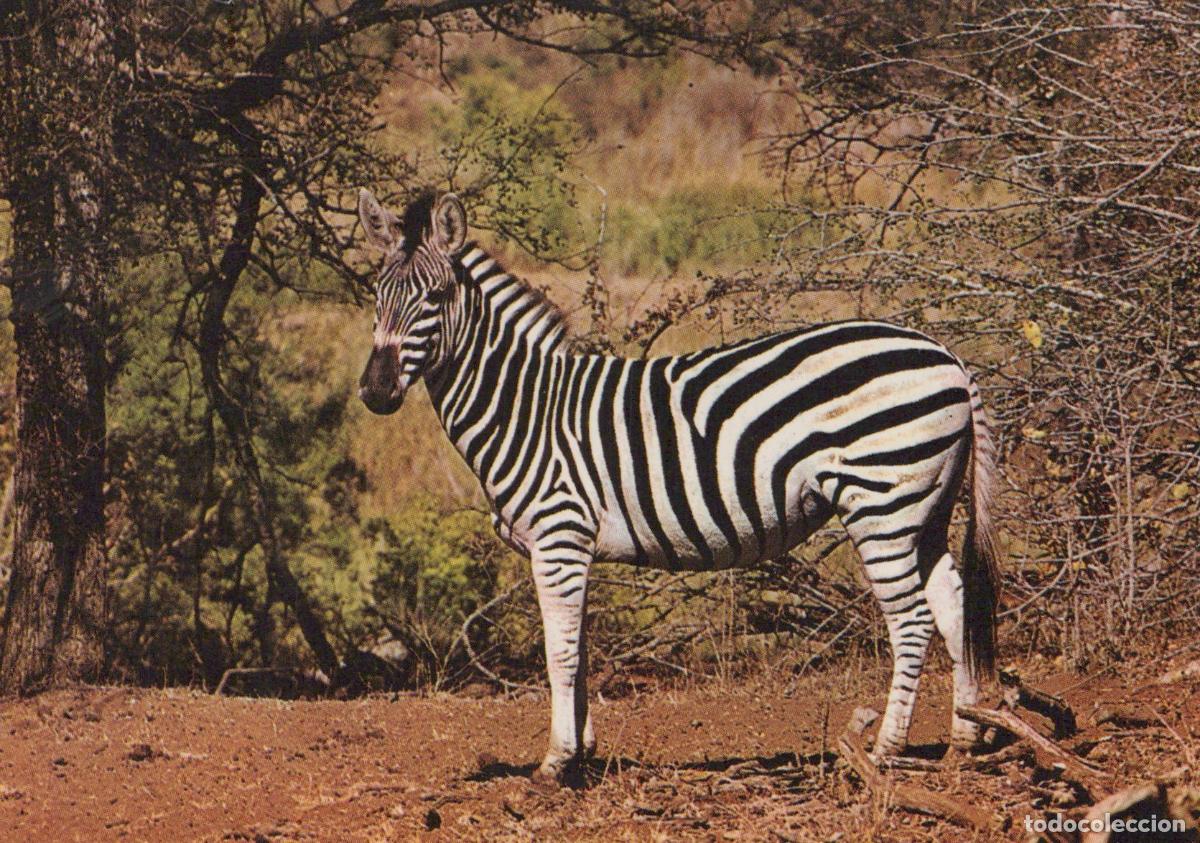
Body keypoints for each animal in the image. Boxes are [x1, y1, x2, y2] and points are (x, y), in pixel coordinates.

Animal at [355, 188, 1001, 784]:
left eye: (436, 298)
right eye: (375, 297)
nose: (376, 393)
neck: (526, 406)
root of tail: (946, 355)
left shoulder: (559, 536)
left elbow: (560, 652)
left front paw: (556, 762)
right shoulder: (575, 548)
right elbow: (581, 648)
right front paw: (584, 753)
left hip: (881, 502)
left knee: (912, 621)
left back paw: (885, 751)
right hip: (925, 506)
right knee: (953, 603)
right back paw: (968, 736)